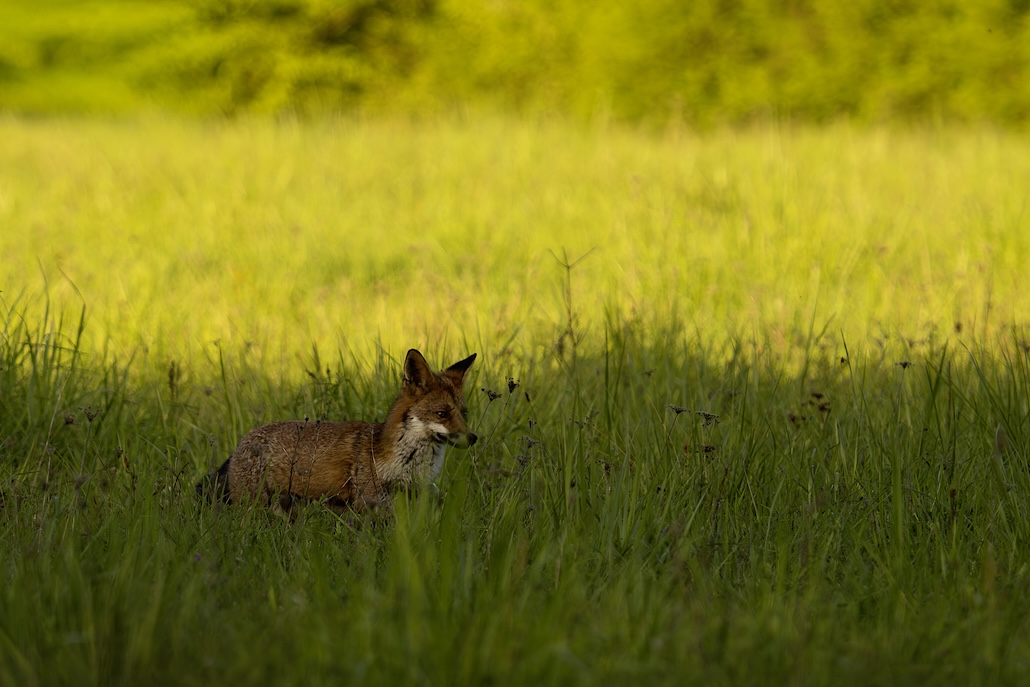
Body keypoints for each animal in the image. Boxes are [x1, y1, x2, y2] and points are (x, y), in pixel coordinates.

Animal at [196, 349, 477, 512]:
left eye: (464, 413)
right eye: (442, 414)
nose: (473, 438)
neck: (407, 463)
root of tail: (239, 445)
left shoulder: (418, 492)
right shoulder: (369, 501)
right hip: (255, 506)